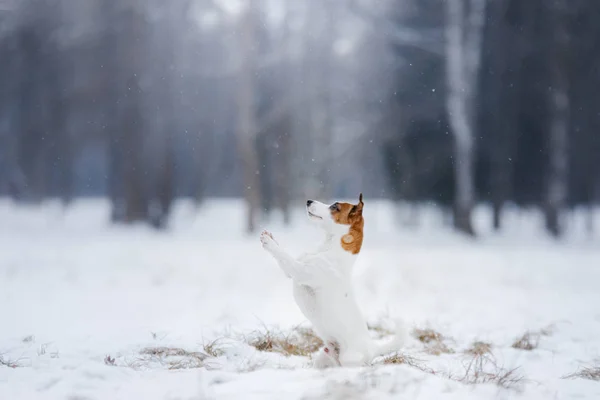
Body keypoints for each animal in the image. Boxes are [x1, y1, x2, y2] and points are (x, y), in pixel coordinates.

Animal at [258, 195, 404, 368]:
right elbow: (283, 257)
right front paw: (272, 237)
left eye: (335, 207)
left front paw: (268, 241)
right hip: (323, 359)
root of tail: (373, 348)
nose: (308, 201)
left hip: (349, 360)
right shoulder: (291, 271)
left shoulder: (300, 272)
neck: (328, 248)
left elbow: (284, 256)